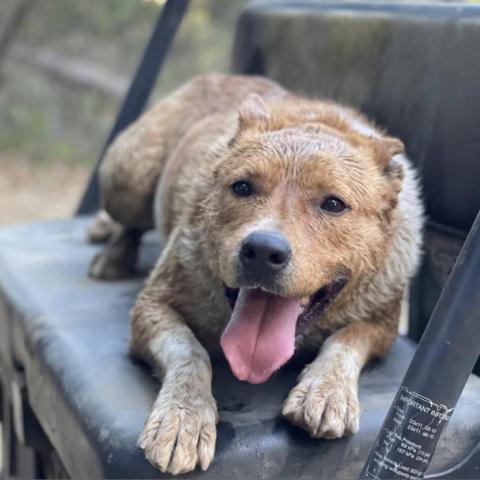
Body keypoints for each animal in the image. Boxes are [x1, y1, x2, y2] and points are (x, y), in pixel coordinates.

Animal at [87, 73, 424, 474]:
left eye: (334, 204)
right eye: (242, 187)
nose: (263, 251)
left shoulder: (382, 323)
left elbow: (347, 339)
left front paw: (325, 390)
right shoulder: (153, 305)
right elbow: (190, 350)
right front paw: (184, 415)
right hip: (127, 176)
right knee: (129, 218)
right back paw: (112, 245)